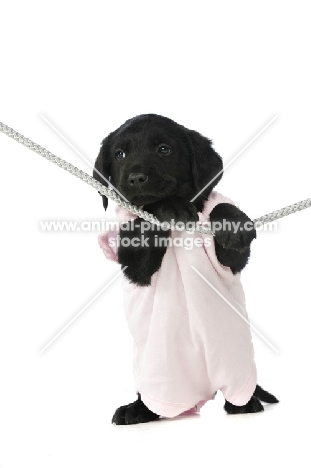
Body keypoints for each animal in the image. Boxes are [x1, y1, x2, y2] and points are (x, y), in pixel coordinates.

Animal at [92, 114, 278, 424]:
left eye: (164, 149)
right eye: (119, 154)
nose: (136, 178)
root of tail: (204, 394)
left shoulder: (232, 260)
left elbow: (221, 209)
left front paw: (235, 226)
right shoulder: (134, 263)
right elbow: (147, 217)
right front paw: (169, 207)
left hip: (237, 369)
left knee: (239, 392)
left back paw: (245, 403)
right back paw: (137, 409)